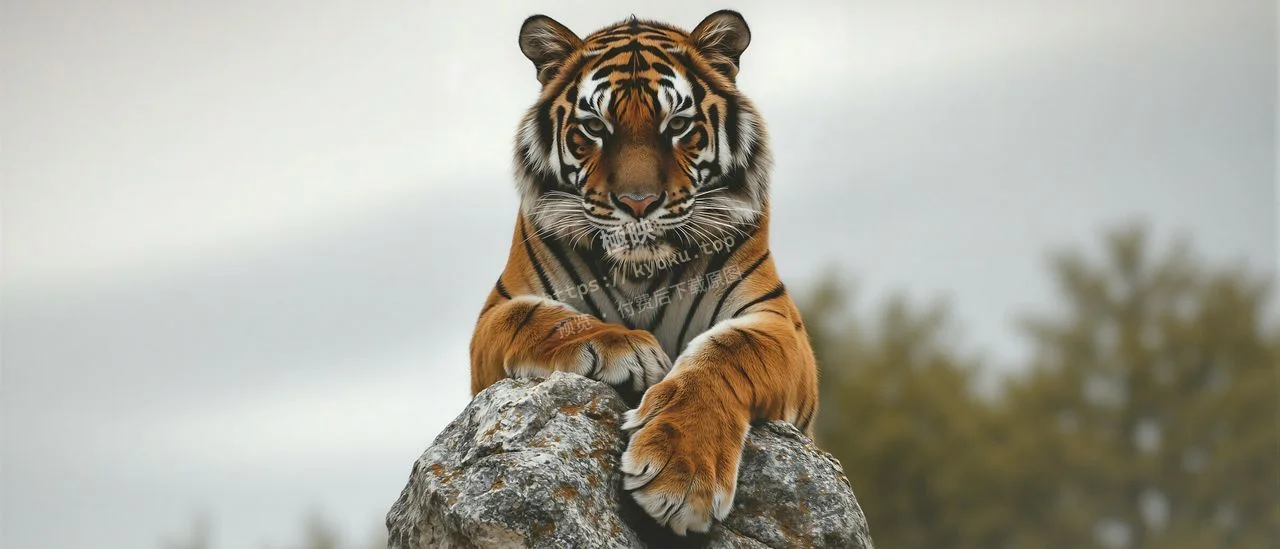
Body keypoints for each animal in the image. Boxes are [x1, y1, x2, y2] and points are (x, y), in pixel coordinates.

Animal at [468, 10, 819, 536]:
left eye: (678, 125)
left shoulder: (778, 322)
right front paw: (627, 348)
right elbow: (542, 317)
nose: (638, 204)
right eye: (594, 127)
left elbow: (730, 351)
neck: (641, 271)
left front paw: (680, 473)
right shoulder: (498, 311)